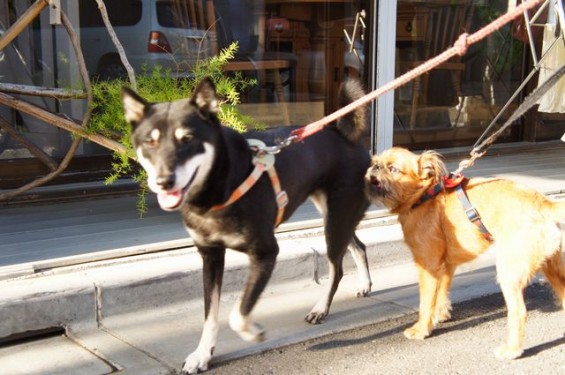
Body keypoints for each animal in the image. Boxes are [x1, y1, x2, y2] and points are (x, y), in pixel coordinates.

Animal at [120, 77, 370, 374]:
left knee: (337, 267)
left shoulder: (265, 253)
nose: (164, 181)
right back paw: (365, 284)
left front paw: (254, 333)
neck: (220, 186)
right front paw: (202, 354)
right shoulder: (210, 255)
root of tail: (344, 134)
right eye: (150, 141)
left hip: (336, 219)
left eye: (188, 140)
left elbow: (237, 314)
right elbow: (210, 314)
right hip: (335, 216)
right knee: (358, 246)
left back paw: (321, 308)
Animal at [364, 147, 560, 362]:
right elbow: (442, 290)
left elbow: (426, 301)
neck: (424, 195)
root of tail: (543, 203)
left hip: (510, 273)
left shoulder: (428, 266)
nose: (374, 166)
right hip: (553, 269)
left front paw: (422, 328)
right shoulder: (447, 264)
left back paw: (511, 350)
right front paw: (440, 314)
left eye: (392, 169)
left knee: (519, 312)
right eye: (376, 162)